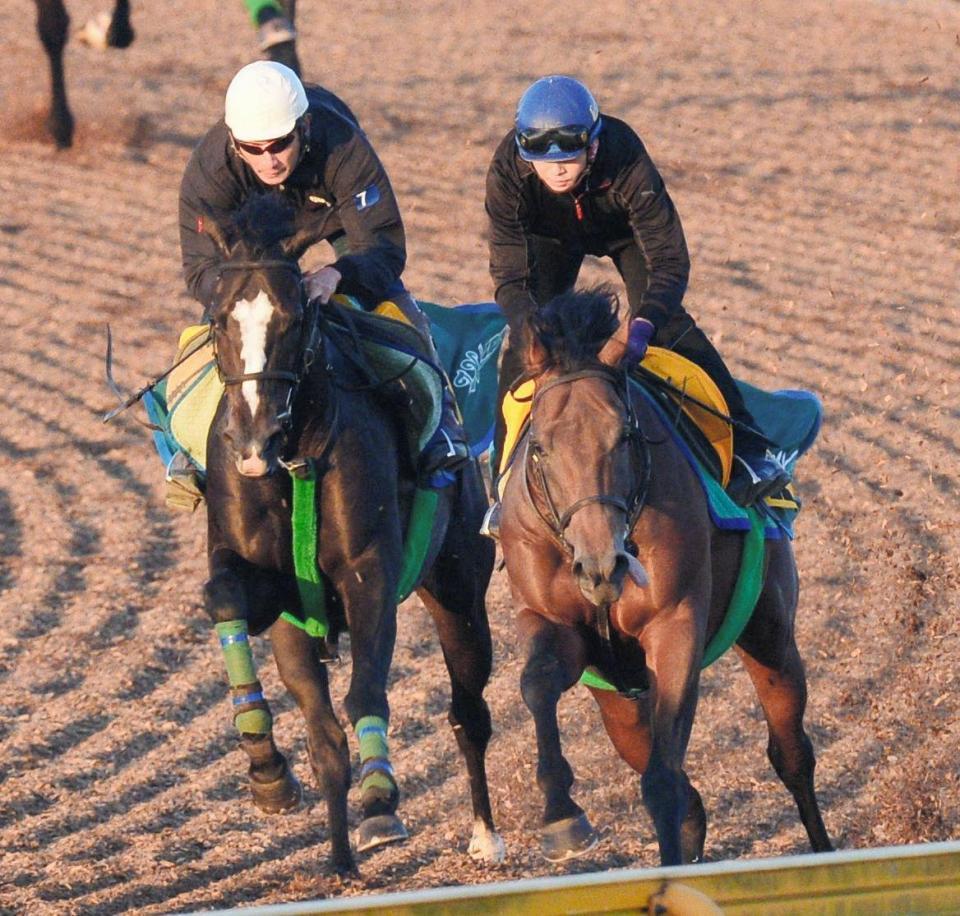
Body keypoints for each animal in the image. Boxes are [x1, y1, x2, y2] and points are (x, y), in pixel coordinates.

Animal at [200, 195, 506, 872]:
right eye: (220, 319)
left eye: (294, 317)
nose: (253, 439)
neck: (294, 463)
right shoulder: (274, 595)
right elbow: (227, 599)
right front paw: (267, 771)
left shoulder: (369, 575)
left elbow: (366, 693)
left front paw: (381, 799)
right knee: (324, 741)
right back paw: (339, 857)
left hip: (459, 588)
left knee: (468, 712)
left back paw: (486, 836)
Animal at [496, 286, 832, 864]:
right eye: (539, 447)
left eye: (625, 436)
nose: (601, 565)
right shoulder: (551, 622)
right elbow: (537, 684)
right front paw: (561, 814)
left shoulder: (674, 625)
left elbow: (662, 785)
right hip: (619, 703)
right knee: (687, 793)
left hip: (769, 633)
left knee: (790, 754)